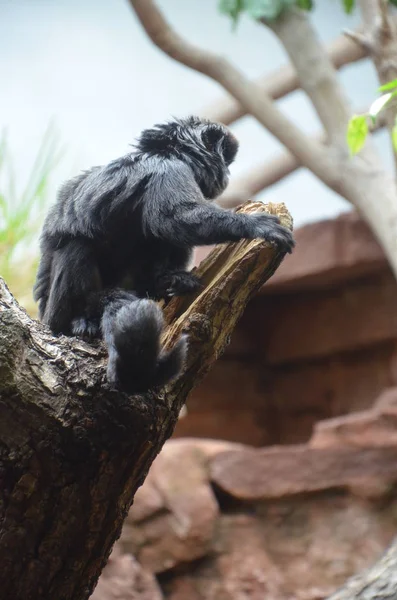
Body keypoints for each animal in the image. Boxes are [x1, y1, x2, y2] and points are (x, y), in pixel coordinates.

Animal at [34, 118, 294, 394]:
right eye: (225, 158)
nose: (227, 173)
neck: (167, 153)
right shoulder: (169, 171)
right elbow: (176, 218)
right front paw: (254, 225)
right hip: (55, 311)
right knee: (77, 245)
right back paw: (81, 320)